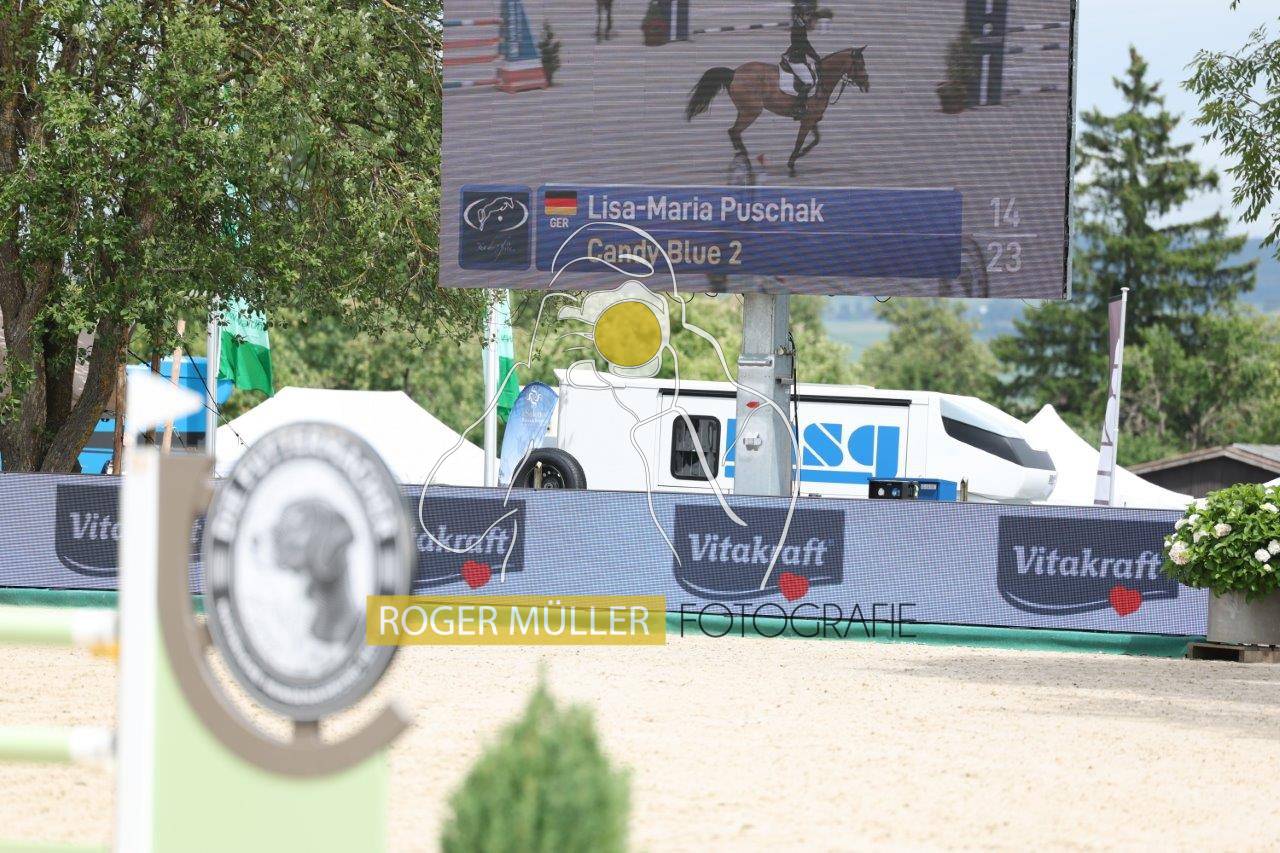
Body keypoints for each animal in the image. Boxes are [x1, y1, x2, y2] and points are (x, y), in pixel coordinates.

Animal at [685, 46, 869, 177]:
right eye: (860, 65)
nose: (867, 86)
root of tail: (734, 73)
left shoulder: (811, 119)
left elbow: (816, 139)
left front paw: (800, 155)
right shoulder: (807, 120)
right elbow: (800, 141)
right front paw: (792, 163)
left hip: (745, 111)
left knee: (733, 132)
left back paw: (743, 159)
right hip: (751, 112)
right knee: (734, 131)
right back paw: (747, 163)